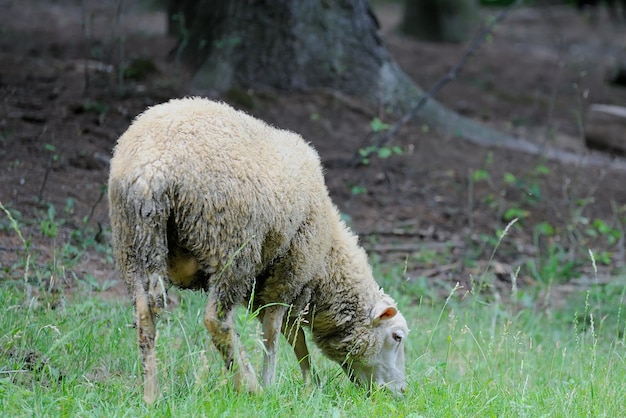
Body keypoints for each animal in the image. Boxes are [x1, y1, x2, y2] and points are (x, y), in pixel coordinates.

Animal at [108, 96, 410, 404]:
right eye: (397, 336)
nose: (402, 392)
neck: (327, 262)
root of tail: (152, 166)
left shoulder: (275, 288)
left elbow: (293, 336)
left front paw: (310, 383)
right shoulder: (287, 273)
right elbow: (274, 333)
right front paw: (270, 382)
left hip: (135, 243)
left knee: (147, 315)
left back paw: (152, 394)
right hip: (230, 246)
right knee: (216, 319)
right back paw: (248, 386)